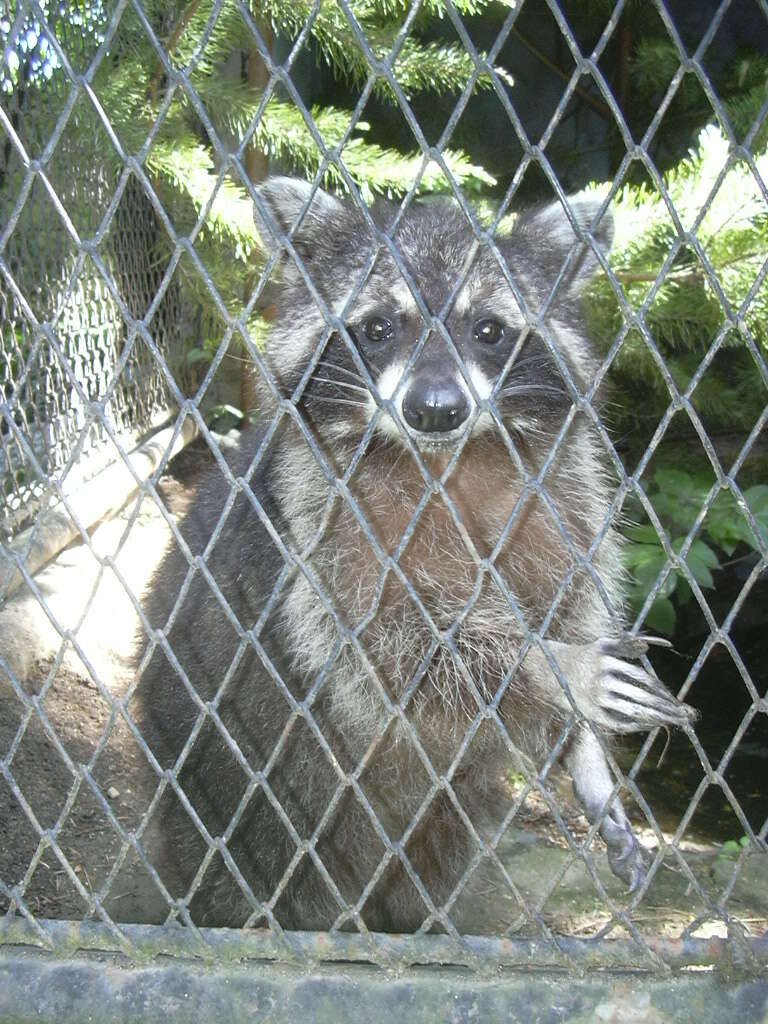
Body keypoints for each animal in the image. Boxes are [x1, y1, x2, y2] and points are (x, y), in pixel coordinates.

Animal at [138, 178, 696, 937]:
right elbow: (380, 651)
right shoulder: (316, 519)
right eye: (380, 327)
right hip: (222, 789)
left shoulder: (567, 492)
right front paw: (550, 666)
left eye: (487, 329)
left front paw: (587, 758)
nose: (434, 408)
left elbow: (570, 595)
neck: (443, 460)